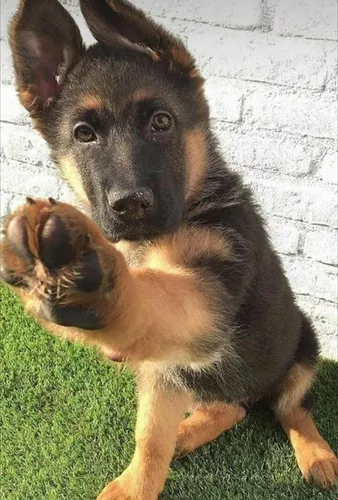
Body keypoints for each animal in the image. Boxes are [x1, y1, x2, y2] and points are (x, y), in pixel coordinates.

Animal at [1, 0, 336, 500]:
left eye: (161, 122)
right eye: (83, 134)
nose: (130, 204)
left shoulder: (214, 278)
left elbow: (158, 295)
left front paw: (95, 282)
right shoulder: (162, 368)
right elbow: (150, 437)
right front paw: (134, 485)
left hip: (303, 346)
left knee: (292, 408)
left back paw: (315, 453)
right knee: (230, 406)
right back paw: (189, 429)